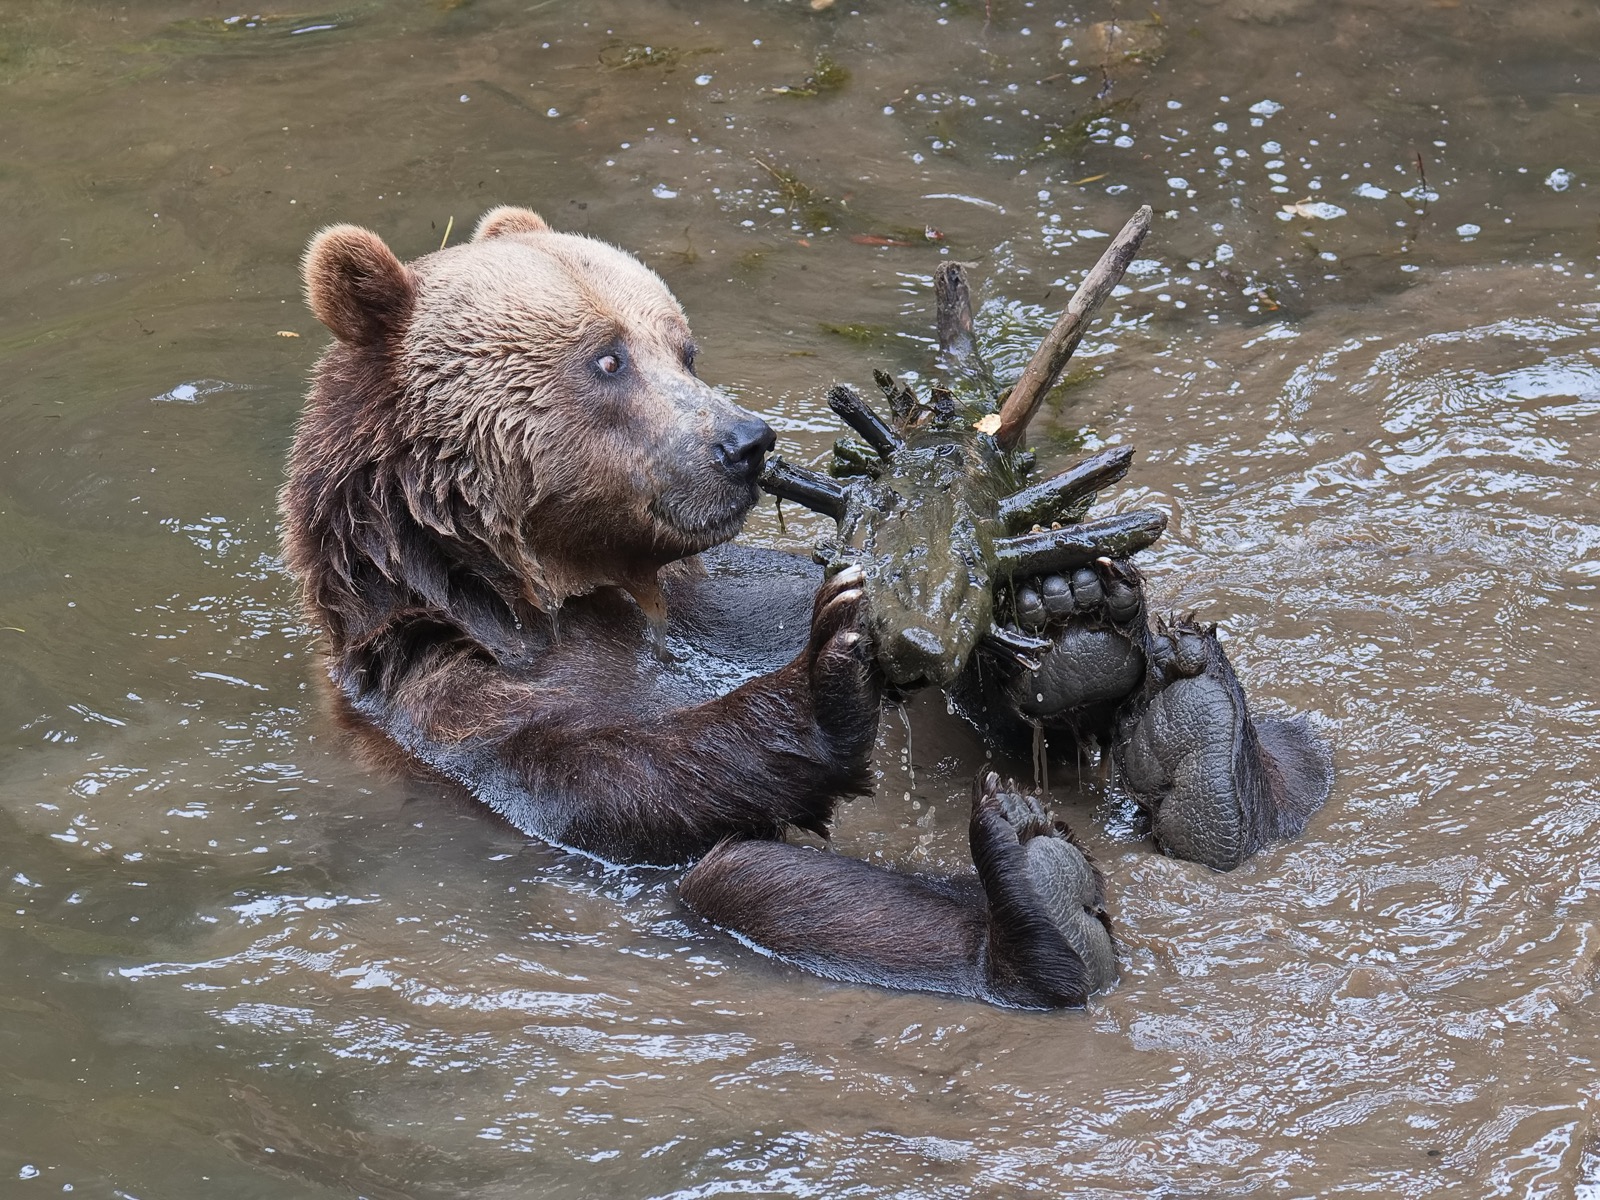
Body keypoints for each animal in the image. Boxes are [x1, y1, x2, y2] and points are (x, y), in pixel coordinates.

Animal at [281, 209, 1120, 1017]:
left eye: (682, 349)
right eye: (608, 359)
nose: (746, 440)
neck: (557, 584)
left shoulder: (727, 602)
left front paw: (1067, 599)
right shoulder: (452, 693)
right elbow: (604, 774)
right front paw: (835, 661)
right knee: (753, 882)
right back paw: (1042, 888)